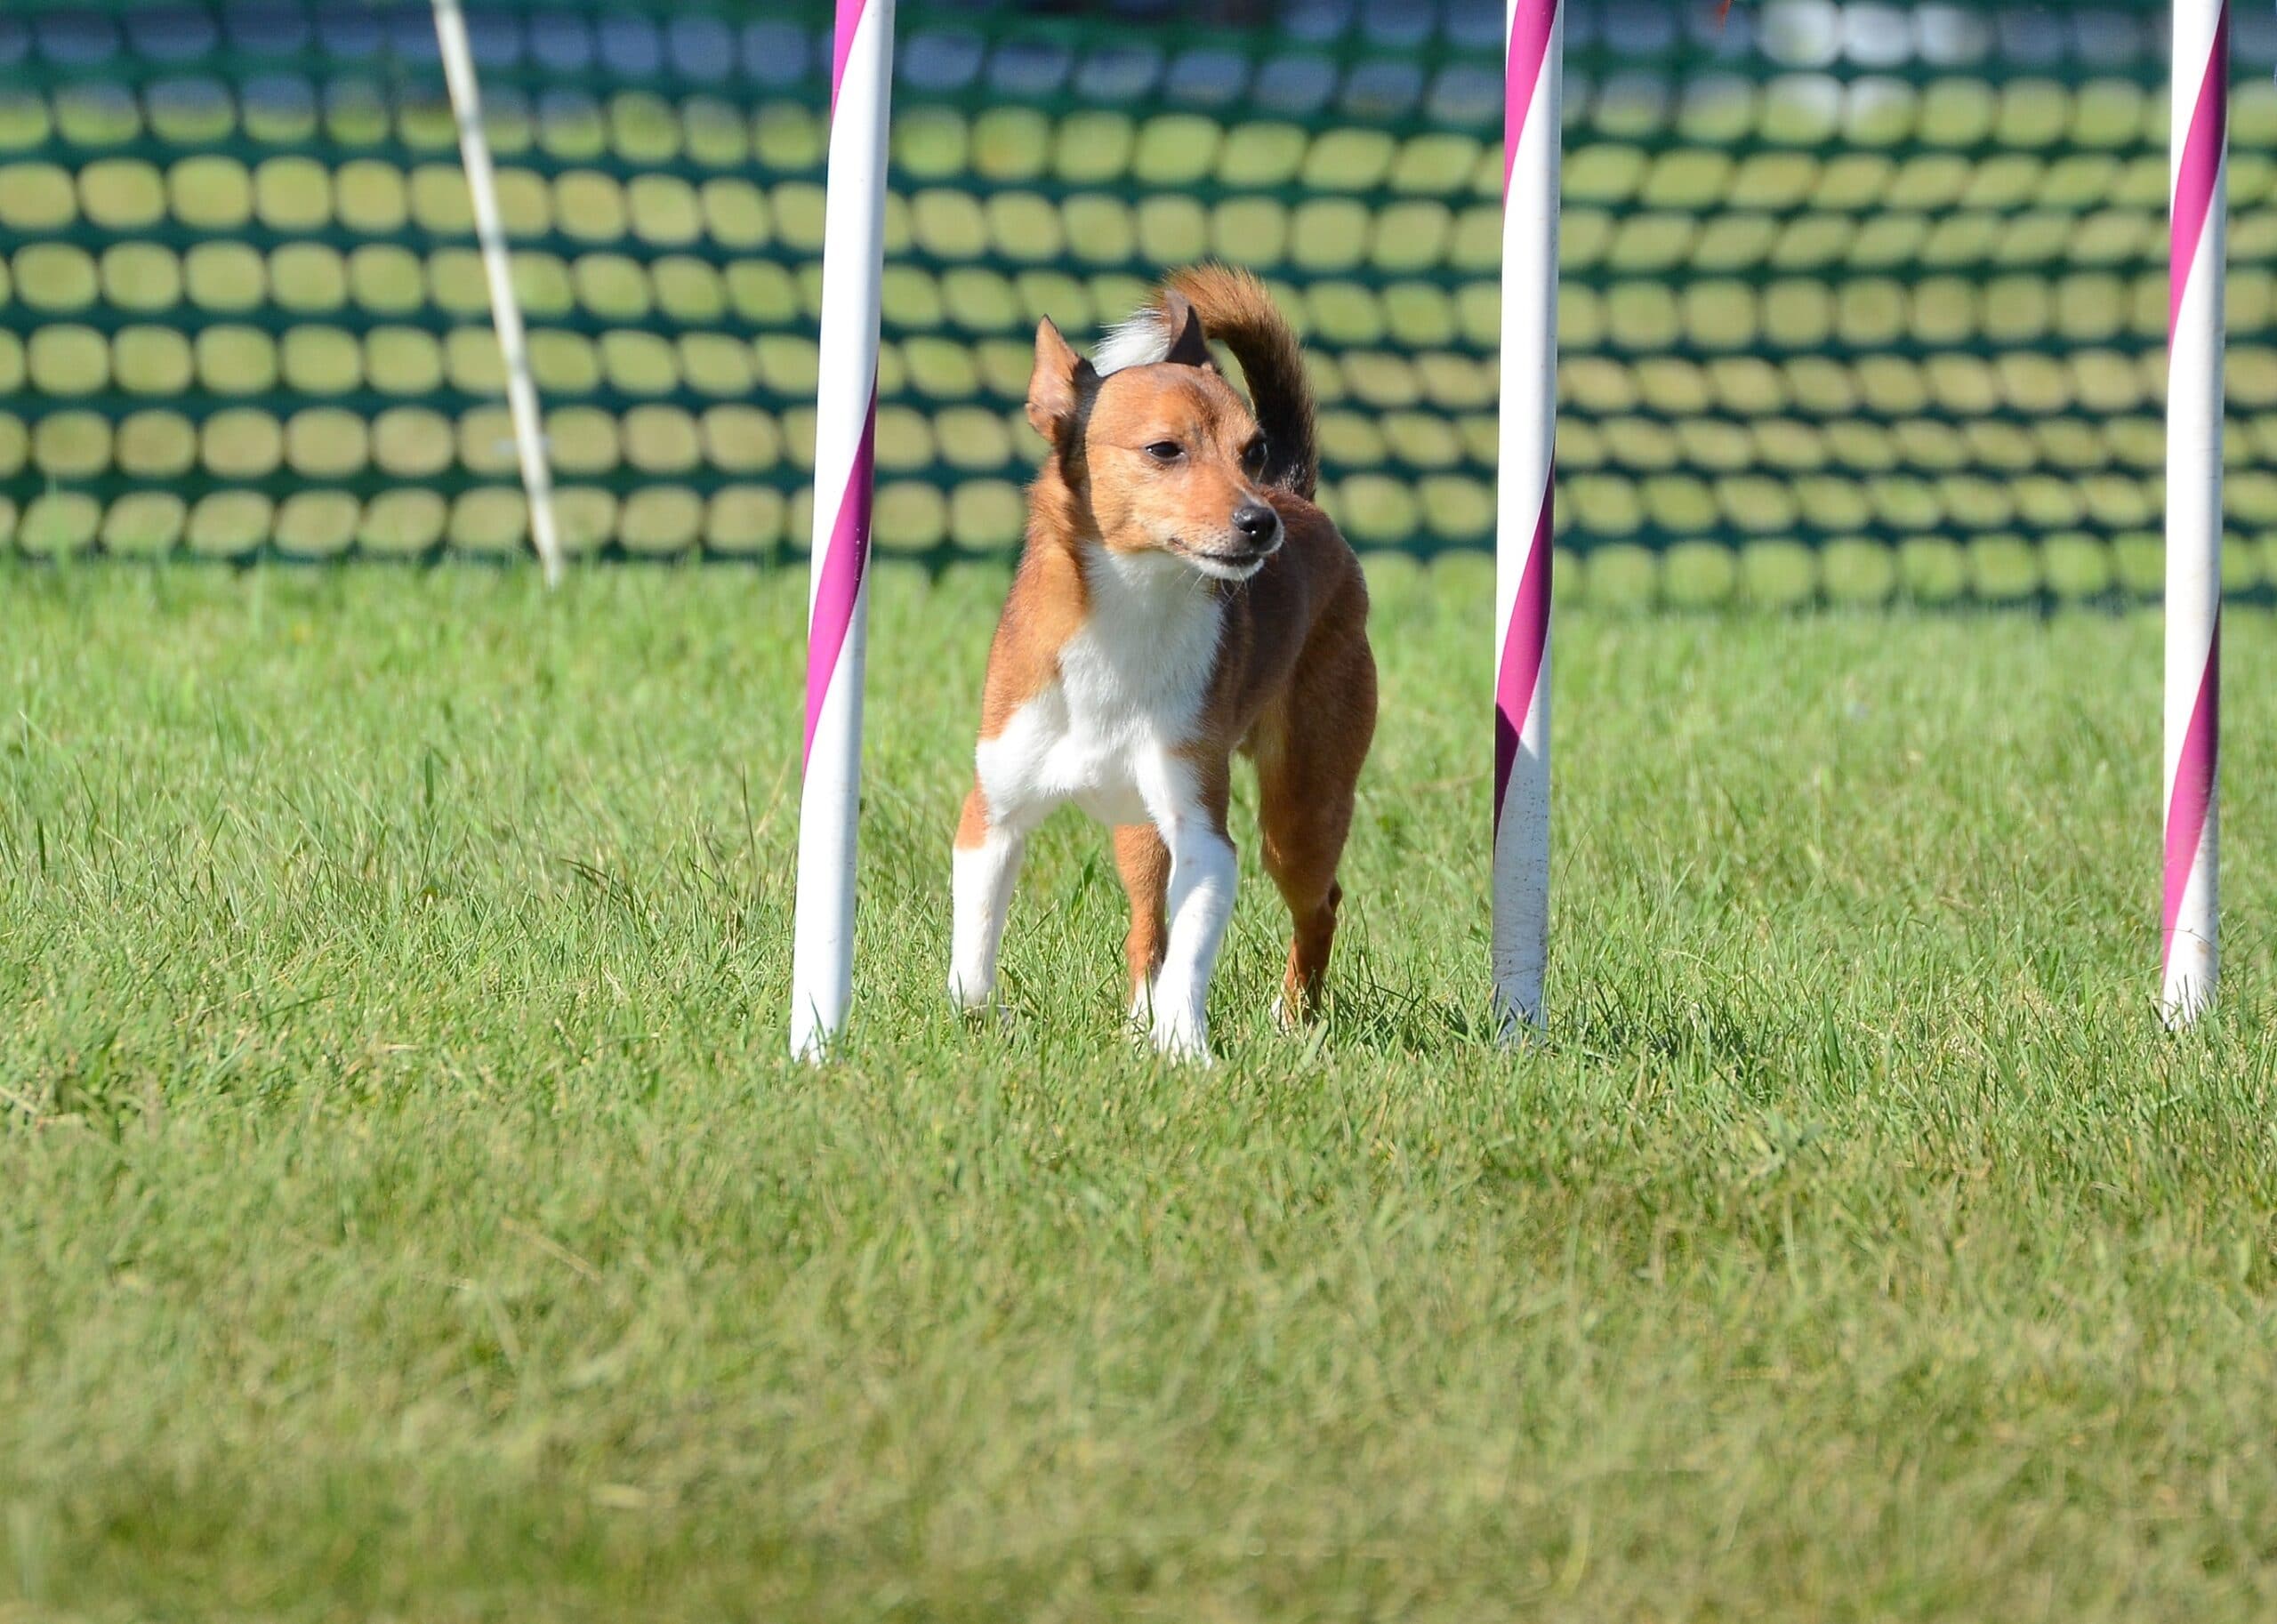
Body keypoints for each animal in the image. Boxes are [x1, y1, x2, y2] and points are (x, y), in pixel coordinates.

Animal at [952, 262, 1375, 1065]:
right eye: (1164, 451)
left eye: (1250, 450)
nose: (1258, 523)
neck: (1128, 614)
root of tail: (1296, 494)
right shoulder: (993, 815)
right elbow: (975, 949)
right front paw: (979, 1019)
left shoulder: (1205, 838)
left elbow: (1192, 957)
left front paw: (1184, 1048)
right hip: (1140, 837)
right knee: (1146, 926)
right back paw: (1138, 1018)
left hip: (1299, 816)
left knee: (1320, 903)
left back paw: (1292, 1018)